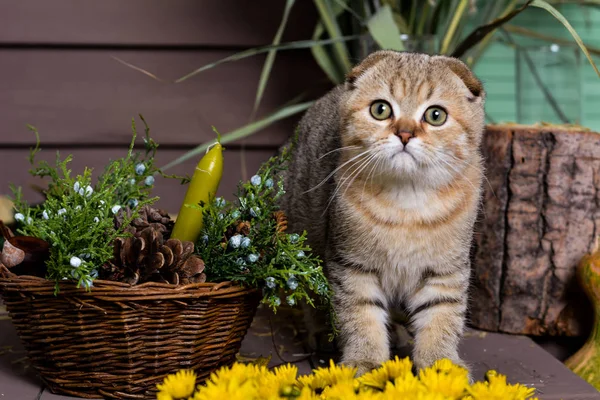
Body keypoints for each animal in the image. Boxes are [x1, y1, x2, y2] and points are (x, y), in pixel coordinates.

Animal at [282, 50, 488, 376]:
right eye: (380, 110)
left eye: (436, 115)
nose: (404, 133)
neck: (407, 204)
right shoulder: (352, 266)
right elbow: (360, 316)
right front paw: (365, 360)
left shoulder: (445, 270)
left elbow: (441, 318)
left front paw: (440, 364)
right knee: (311, 298)